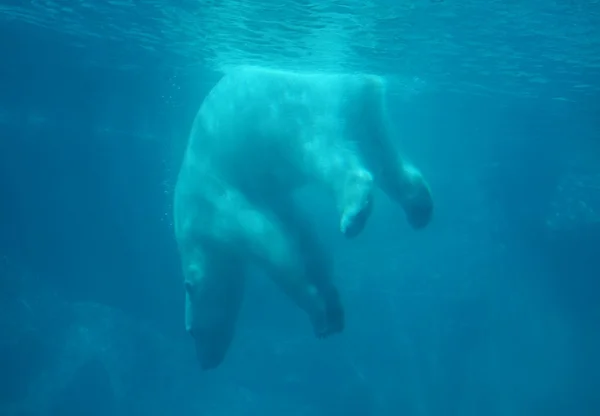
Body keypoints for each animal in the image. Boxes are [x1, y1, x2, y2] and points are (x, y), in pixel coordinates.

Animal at [172, 66, 432, 370]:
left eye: (191, 332)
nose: (206, 363)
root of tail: (352, 84)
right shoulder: (270, 194)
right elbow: (306, 238)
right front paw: (333, 308)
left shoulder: (213, 205)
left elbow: (275, 248)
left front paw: (319, 314)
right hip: (366, 115)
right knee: (385, 156)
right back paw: (419, 207)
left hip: (299, 119)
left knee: (330, 158)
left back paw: (353, 216)